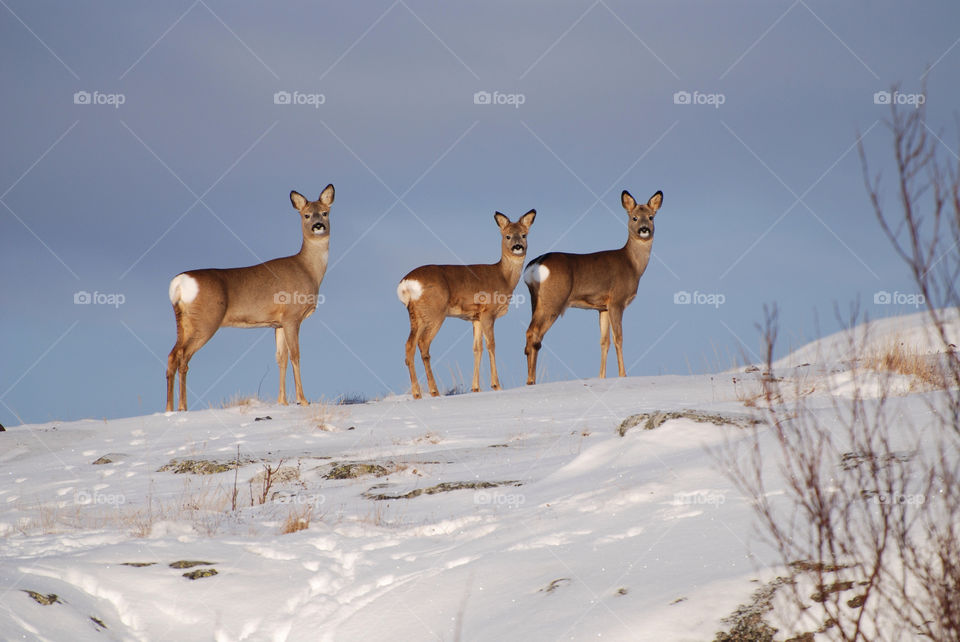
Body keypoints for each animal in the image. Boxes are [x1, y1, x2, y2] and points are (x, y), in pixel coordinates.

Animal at [162, 182, 334, 410]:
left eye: (325, 212)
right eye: (306, 215)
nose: (318, 225)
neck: (308, 269)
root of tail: (179, 283)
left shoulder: (277, 323)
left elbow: (281, 358)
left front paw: (282, 402)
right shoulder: (292, 316)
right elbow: (296, 356)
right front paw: (302, 400)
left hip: (183, 321)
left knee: (173, 355)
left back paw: (170, 409)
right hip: (206, 320)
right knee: (184, 357)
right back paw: (182, 407)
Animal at [396, 210, 536, 398]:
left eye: (523, 235)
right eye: (507, 236)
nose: (518, 246)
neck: (504, 278)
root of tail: (406, 283)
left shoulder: (475, 317)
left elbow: (477, 348)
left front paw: (476, 388)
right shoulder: (488, 312)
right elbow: (491, 345)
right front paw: (496, 385)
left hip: (416, 315)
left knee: (409, 345)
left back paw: (417, 393)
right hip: (435, 312)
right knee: (423, 343)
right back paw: (434, 391)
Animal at [520, 188, 664, 382]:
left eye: (651, 217)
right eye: (634, 217)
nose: (644, 229)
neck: (633, 265)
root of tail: (535, 263)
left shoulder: (602, 307)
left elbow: (604, 341)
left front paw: (601, 377)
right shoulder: (617, 301)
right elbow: (618, 338)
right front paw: (623, 375)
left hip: (536, 300)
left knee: (530, 334)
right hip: (553, 300)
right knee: (533, 333)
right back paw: (531, 381)